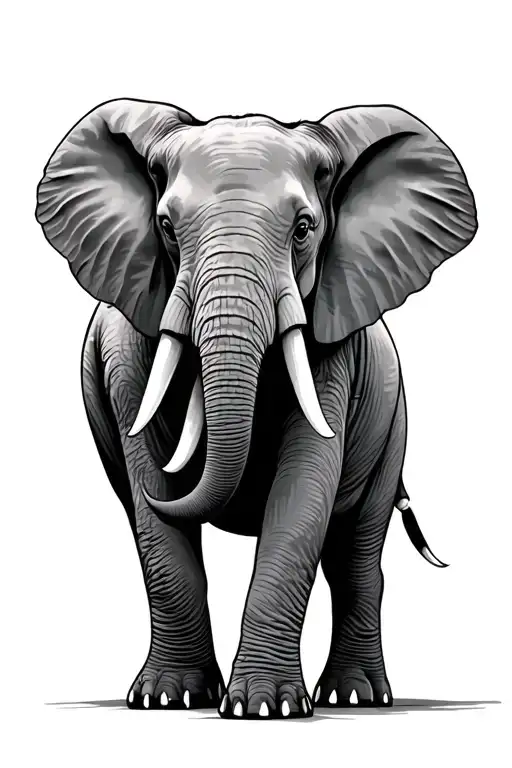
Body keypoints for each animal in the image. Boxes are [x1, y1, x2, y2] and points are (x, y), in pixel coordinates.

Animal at [36, 99, 477, 719]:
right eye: (166, 227)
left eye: (304, 229)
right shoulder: (127, 349)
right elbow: (151, 488)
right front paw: (167, 699)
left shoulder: (333, 354)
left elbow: (303, 489)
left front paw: (264, 709)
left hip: (394, 421)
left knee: (357, 553)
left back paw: (356, 697)